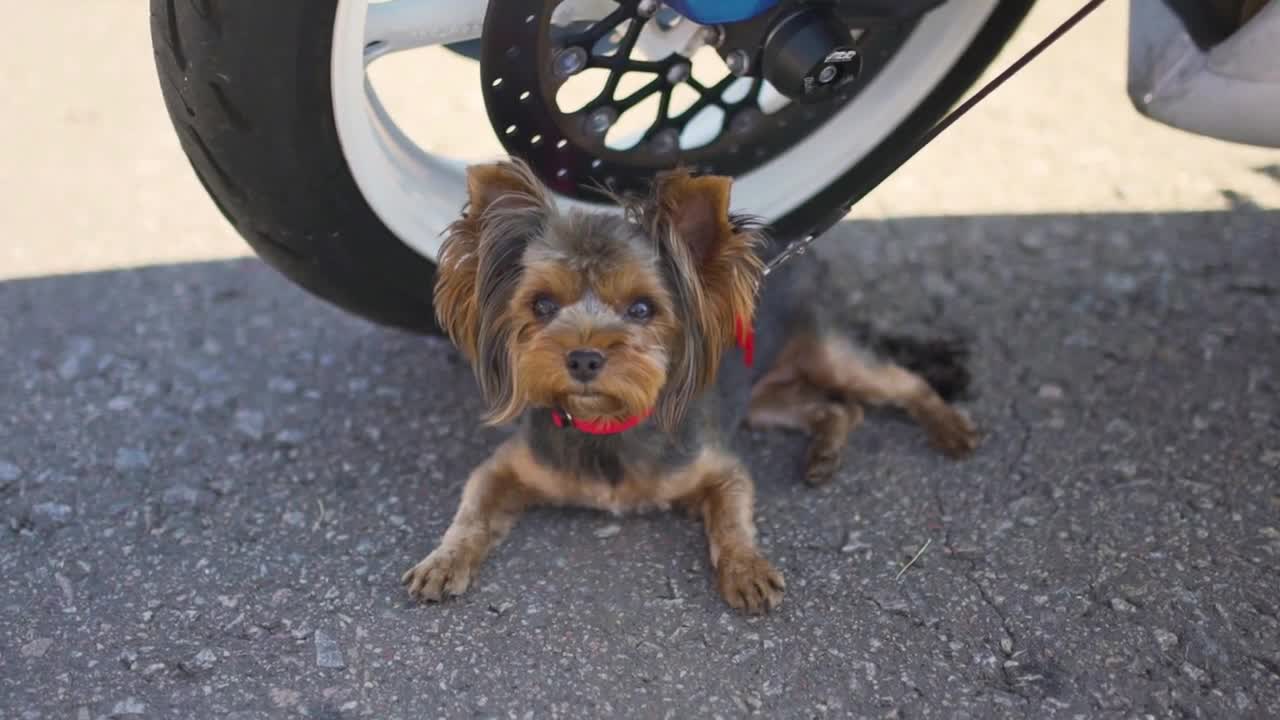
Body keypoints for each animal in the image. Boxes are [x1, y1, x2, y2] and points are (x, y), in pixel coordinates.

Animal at [404, 158, 972, 609]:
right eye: (542, 304)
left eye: (642, 309)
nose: (583, 357)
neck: (607, 424)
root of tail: (793, 253)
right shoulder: (506, 467)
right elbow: (472, 509)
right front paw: (442, 560)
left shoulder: (719, 467)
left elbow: (731, 519)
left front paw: (747, 570)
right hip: (761, 399)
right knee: (838, 409)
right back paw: (823, 455)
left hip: (829, 352)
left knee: (897, 384)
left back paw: (951, 429)